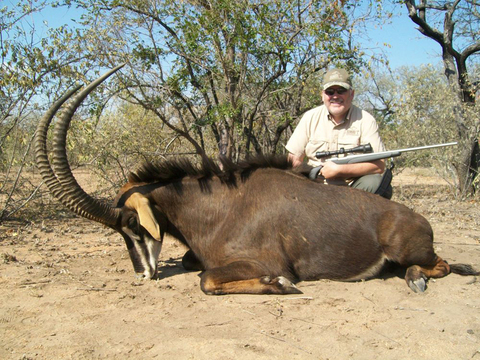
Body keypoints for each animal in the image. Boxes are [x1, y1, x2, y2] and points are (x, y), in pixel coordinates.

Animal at [34, 65, 480, 296]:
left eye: (131, 224)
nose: (141, 274)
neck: (221, 205)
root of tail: (419, 219)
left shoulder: (261, 260)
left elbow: (206, 280)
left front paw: (278, 284)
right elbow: (197, 267)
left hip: (408, 248)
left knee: (439, 264)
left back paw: (415, 278)